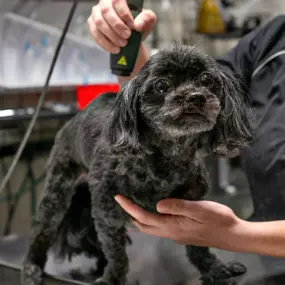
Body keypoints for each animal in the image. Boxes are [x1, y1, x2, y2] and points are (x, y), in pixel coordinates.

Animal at [22, 42, 253, 284]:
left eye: (207, 79)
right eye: (161, 85)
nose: (196, 97)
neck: (167, 157)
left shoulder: (192, 206)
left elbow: (198, 245)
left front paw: (213, 269)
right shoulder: (107, 212)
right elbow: (116, 254)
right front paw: (112, 278)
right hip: (58, 187)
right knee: (43, 228)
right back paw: (31, 267)